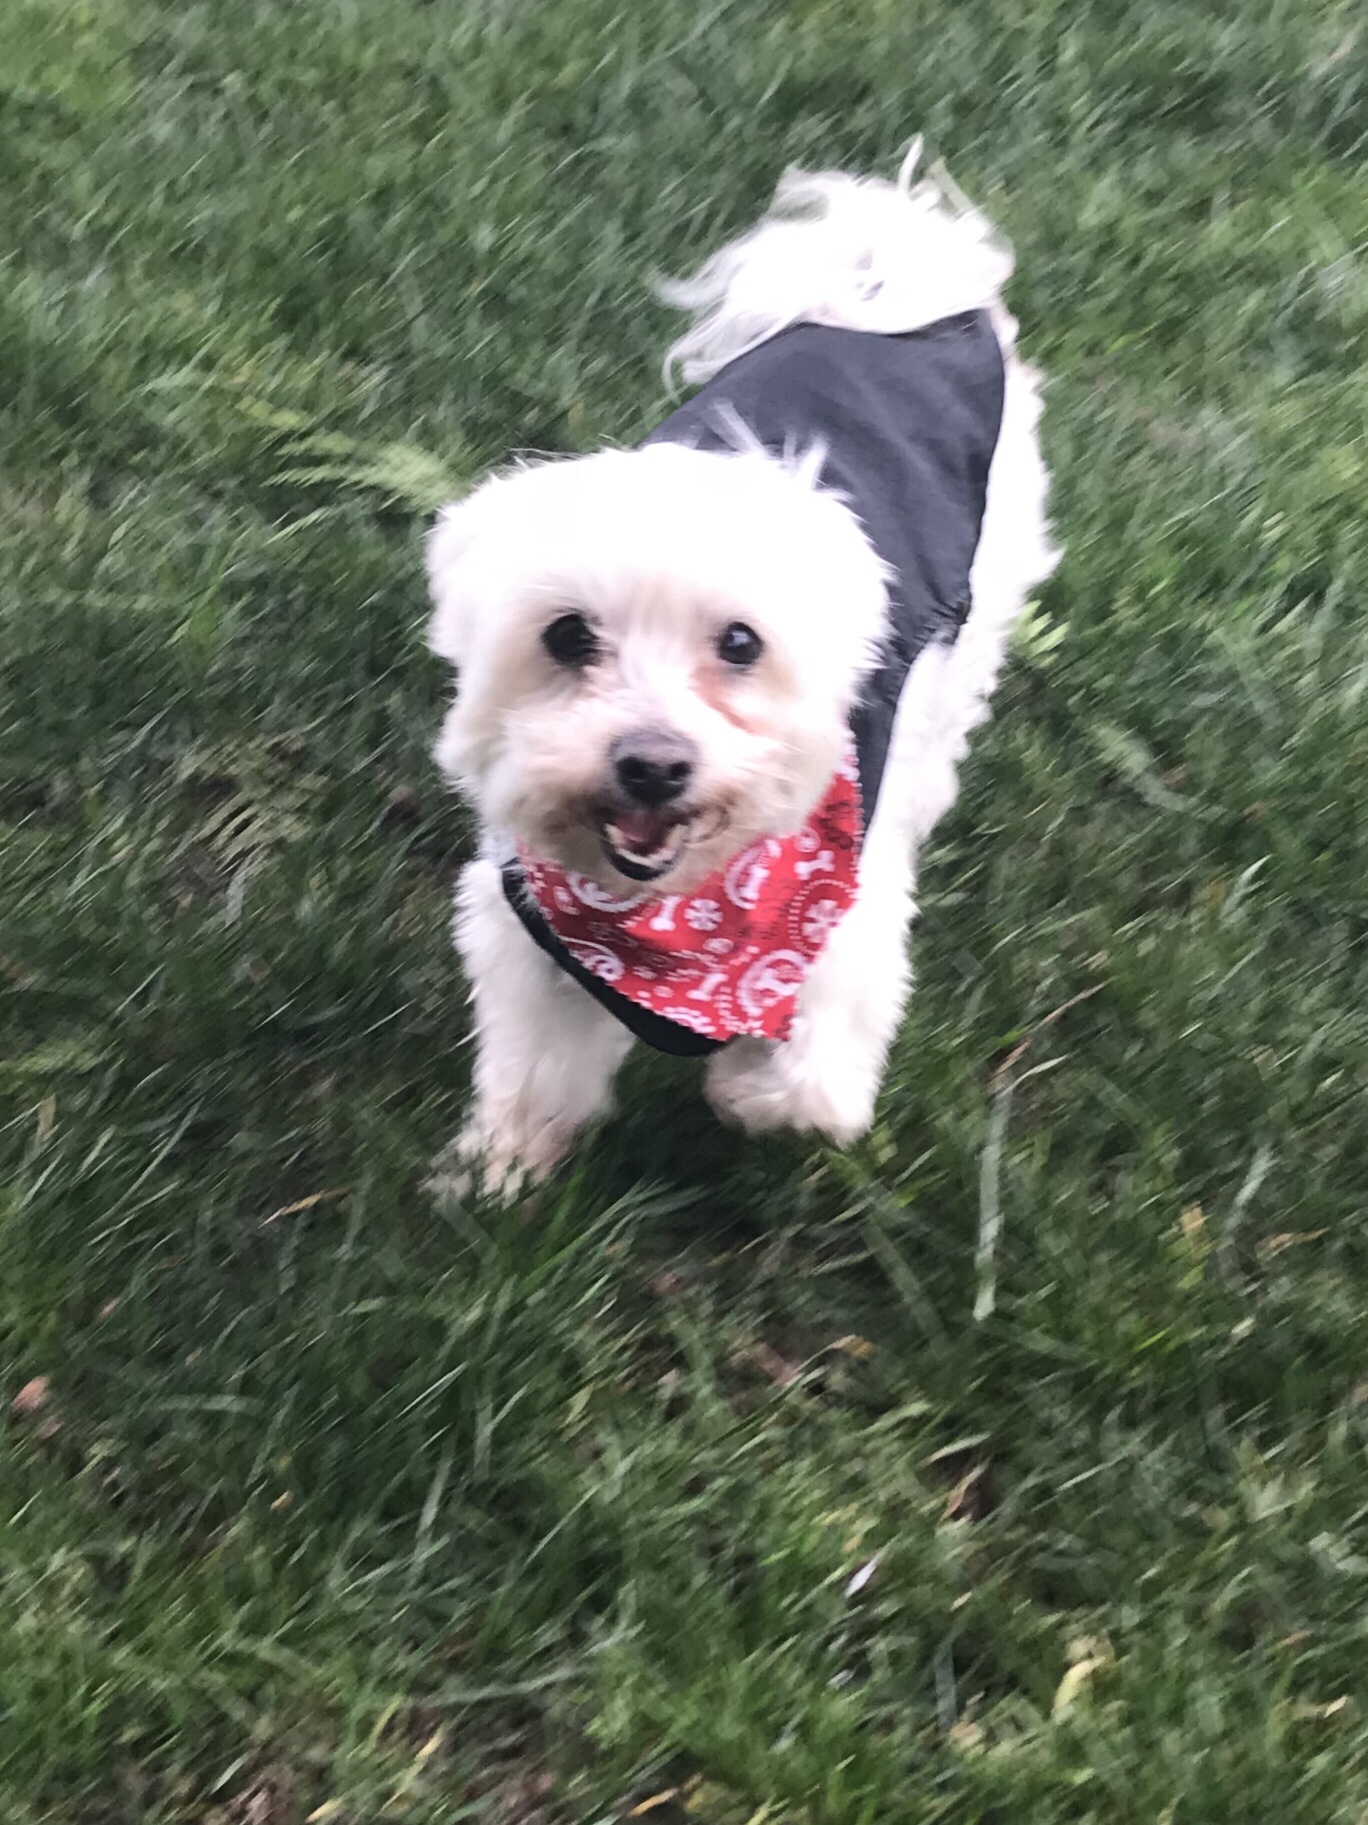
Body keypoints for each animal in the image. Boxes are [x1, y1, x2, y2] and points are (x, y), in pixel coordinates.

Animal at [426, 144, 1058, 1193]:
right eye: (568, 637)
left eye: (738, 644)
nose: (651, 765)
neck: (678, 909)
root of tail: (882, 288)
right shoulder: (528, 927)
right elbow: (534, 1066)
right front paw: (500, 1168)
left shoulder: (844, 927)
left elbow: (806, 1085)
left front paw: (745, 1087)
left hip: (976, 613)